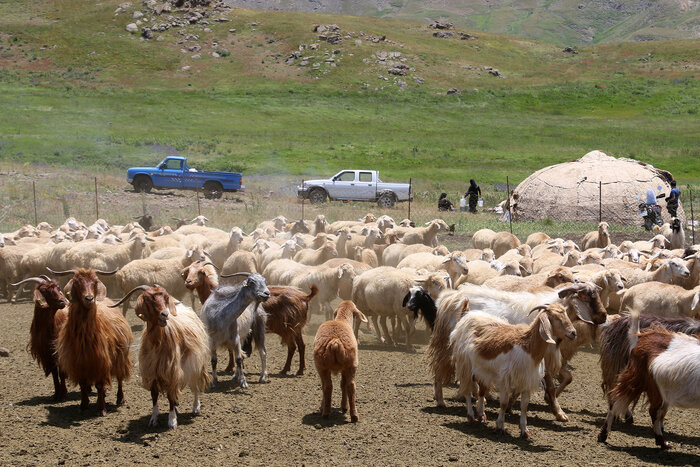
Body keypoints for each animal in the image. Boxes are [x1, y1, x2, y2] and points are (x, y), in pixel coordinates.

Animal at [109, 284, 211, 430]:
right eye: (148, 299)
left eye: (165, 298)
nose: (165, 314)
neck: (157, 343)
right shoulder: (151, 371)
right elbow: (154, 395)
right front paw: (154, 419)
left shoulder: (171, 370)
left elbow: (170, 395)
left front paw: (172, 421)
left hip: (197, 363)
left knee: (195, 385)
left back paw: (196, 407)